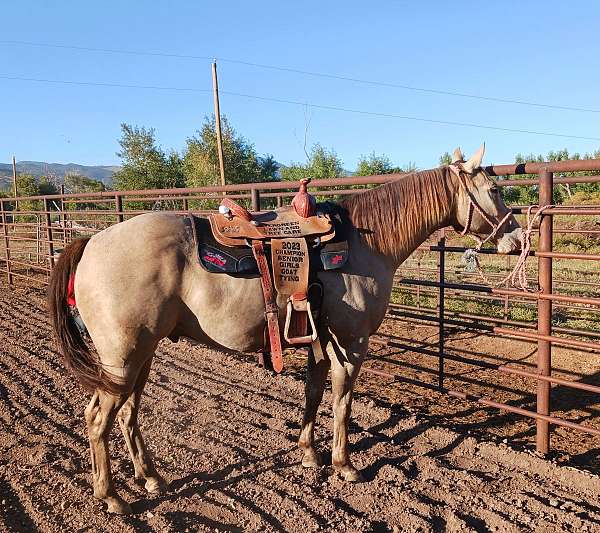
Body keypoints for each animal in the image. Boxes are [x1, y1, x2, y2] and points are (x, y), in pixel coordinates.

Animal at [49, 143, 520, 512]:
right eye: (496, 189)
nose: (515, 238)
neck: (365, 242)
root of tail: (92, 242)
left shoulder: (319, 337)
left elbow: (313, 392)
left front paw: (309, 453)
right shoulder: (352, 342)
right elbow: (343, 403)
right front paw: (345, 465)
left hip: (140, 357)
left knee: (128, 415)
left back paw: (150, 477)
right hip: (123, 359)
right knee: (98, 419)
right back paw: (111, 496)